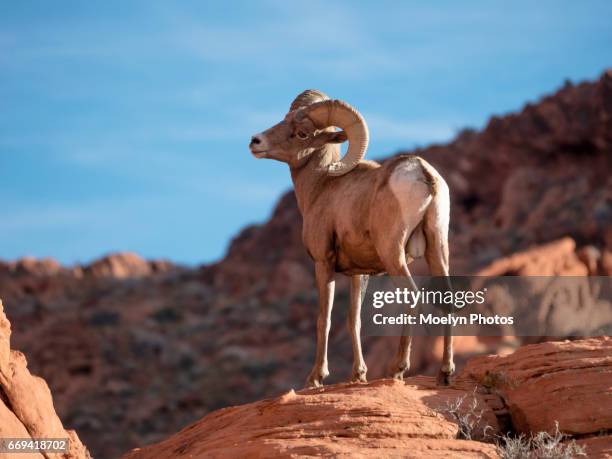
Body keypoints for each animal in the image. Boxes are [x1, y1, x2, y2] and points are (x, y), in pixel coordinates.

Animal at [249, 90, 454, 388]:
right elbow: (353, 320)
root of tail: (423, 174)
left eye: (302, 133)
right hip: (437, 249)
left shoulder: (323, 262)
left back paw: (397, 369)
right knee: (448, 300)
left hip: (393, 254)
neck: (321, 187)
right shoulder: (360, 272)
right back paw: (445, 373)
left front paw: (316, 378)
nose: (256, 142)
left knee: (413, 296)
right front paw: (358, 375)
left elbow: (324, 318)